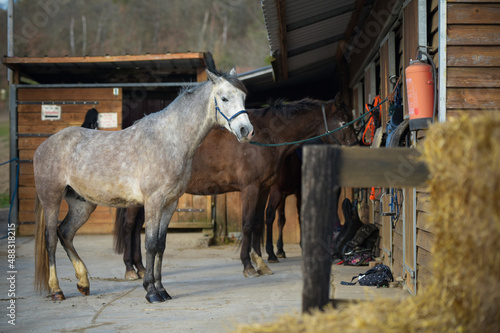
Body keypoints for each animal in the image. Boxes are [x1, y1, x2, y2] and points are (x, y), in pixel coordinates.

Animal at [114, 93, 356, 278]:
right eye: (344, 119)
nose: (356, 145)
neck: (266, 136)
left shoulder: (264, 189)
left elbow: (258, 223)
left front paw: (261, 262)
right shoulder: (250, 188)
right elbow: (247, 224)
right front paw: (248, 266)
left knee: (137, 228)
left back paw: (141, 268)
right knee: (129, 227)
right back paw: (130, 270)